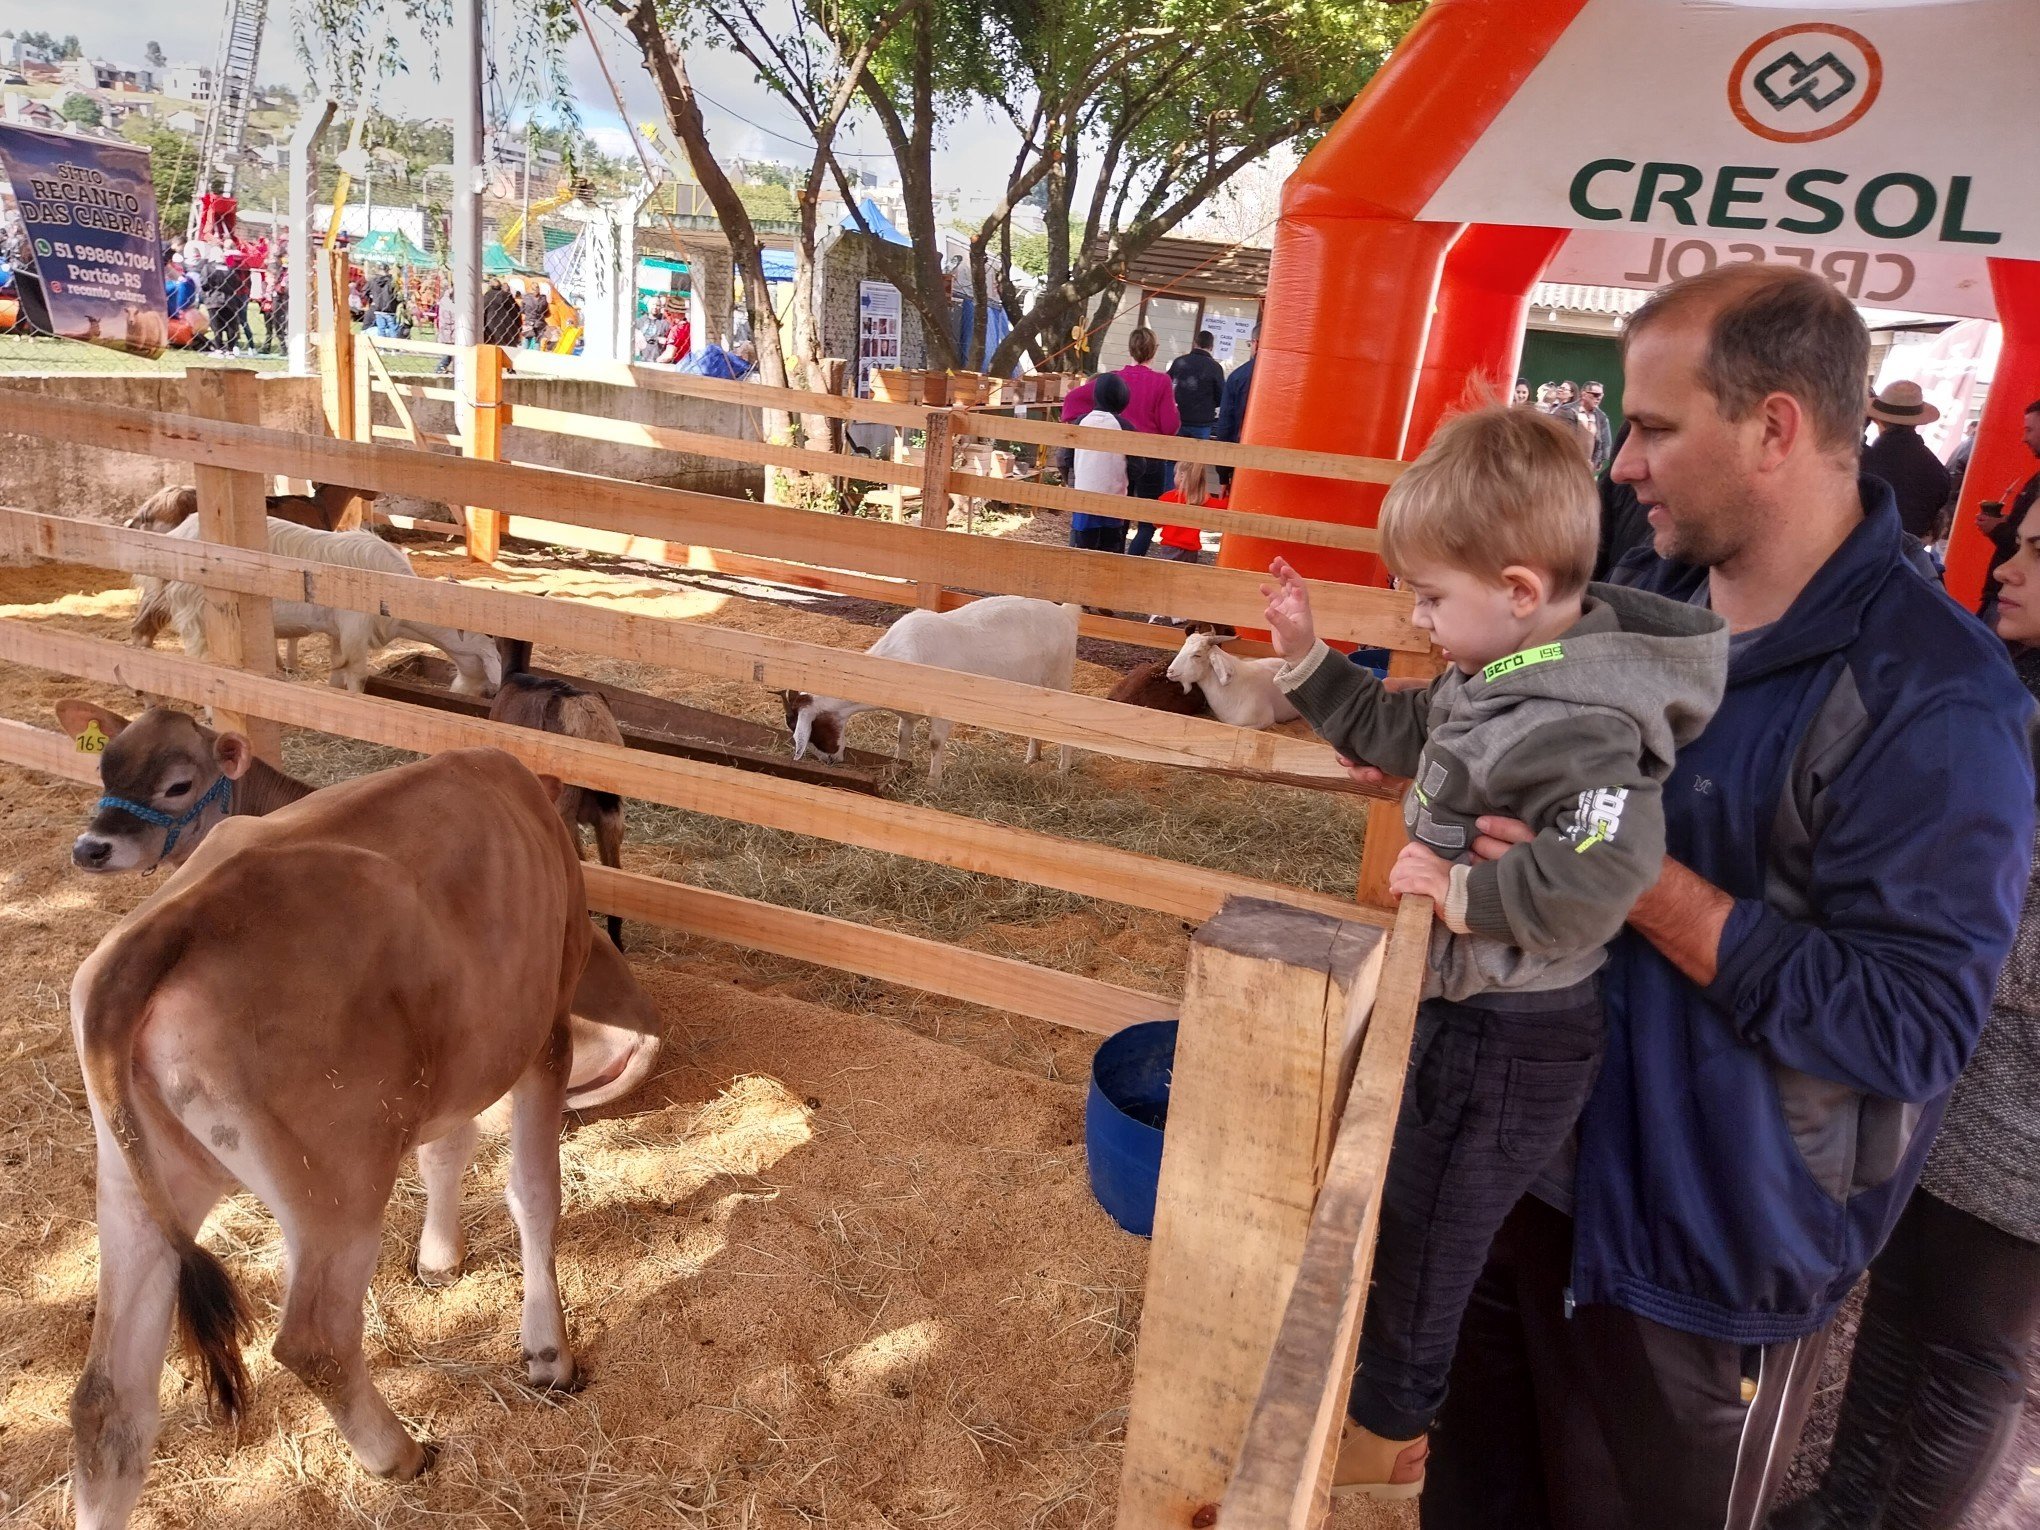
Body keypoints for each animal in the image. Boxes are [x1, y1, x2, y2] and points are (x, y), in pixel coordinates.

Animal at [136, 522, 501, 701]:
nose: (488, 694)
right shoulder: (355, 629)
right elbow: (357, 676)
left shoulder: (339, 632)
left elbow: (337, 676)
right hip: (197, 616)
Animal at [779, 595, 1077, 783]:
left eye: (814, 730)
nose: (829, 761)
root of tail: (1065, 614)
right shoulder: (907, 712)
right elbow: (902, 736)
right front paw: (899, 763)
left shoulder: (944, 707)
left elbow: (934, 742)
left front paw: (933, 781)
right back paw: (1032, 757)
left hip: (1059, 680)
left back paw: (1063, 769)